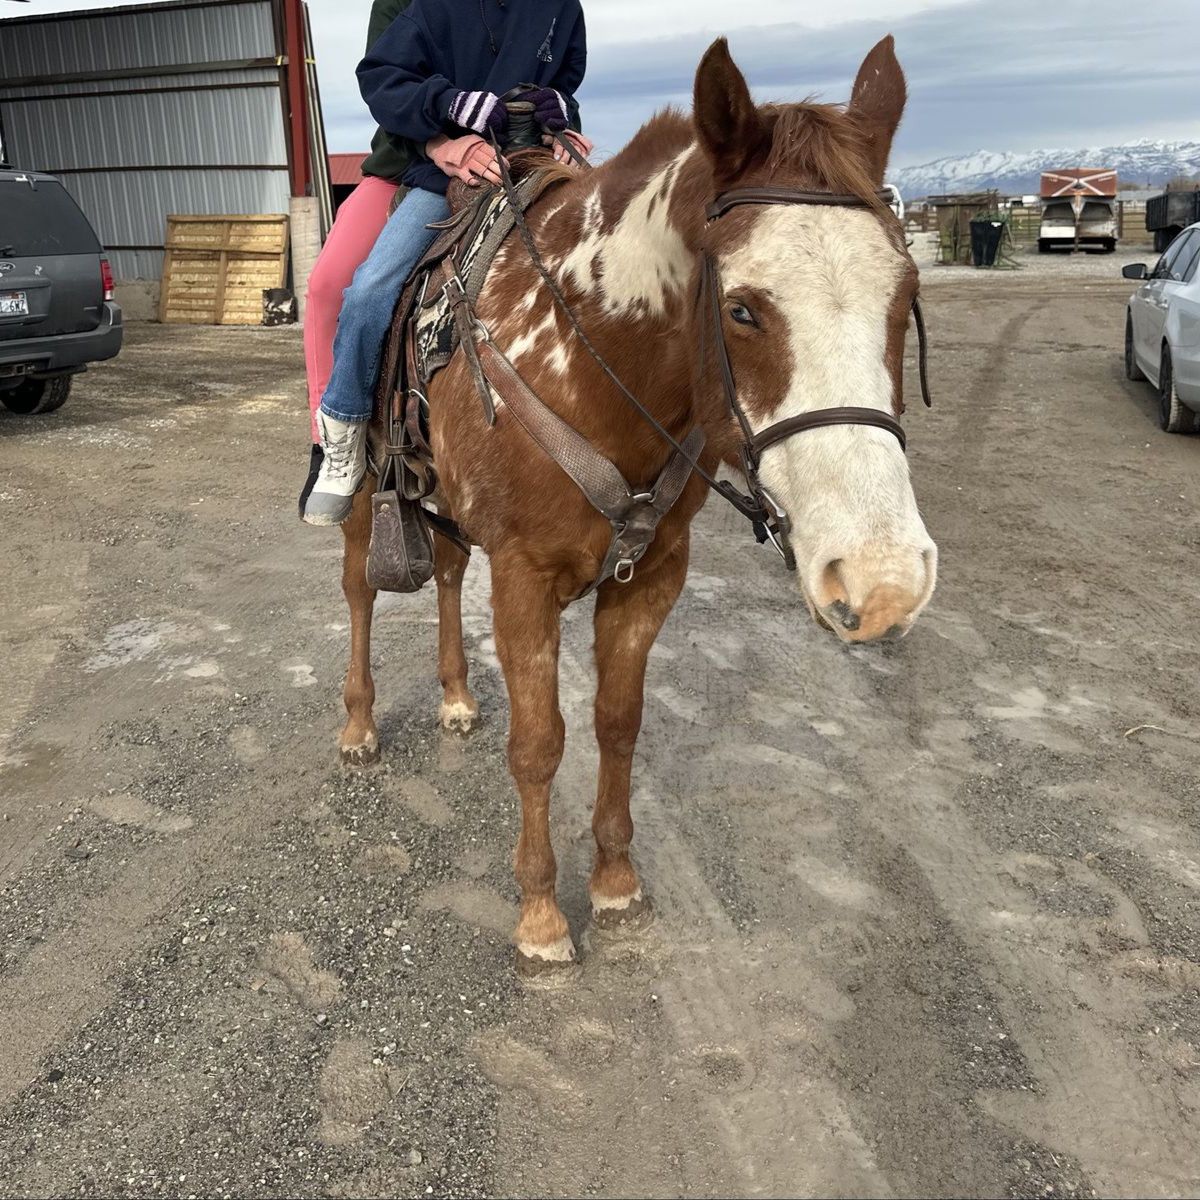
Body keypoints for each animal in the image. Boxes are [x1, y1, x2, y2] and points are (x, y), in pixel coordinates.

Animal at [336, 35, 938, 977]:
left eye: (905, 294)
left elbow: (618, 726)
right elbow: (540, 745)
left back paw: (458, 697)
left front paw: (616, 882)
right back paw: (359, 725)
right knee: (362, 587)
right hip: (365, 487)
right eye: (742, 309)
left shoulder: (651, 573)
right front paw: (542, 917)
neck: (583, 352)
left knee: (446, 572)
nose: (882, 582)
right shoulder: (525, 577)